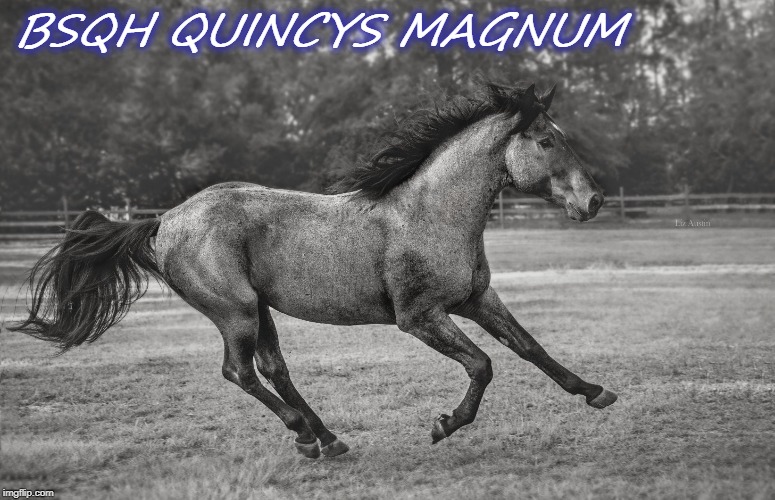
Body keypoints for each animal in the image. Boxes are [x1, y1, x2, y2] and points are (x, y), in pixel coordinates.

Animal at [11, 82, 616, 459]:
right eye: (547, 140)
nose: (593, 202)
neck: (430, 213)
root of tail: (165, 221)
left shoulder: (477, 300)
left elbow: (530, 348)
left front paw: (595, 392)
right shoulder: (420, 317)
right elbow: (483, 365)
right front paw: (444, 425)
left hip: (258, 310)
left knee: (274, 370)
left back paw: (328, 438)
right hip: (234, 312)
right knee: (240, 372)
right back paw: (305, 435)